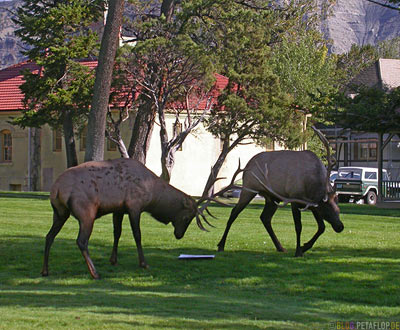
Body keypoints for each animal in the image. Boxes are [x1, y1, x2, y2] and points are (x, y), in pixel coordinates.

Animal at [41, 157, 230, 278]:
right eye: (187, 217)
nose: (179, 235)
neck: (153, 195)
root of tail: (56, 189)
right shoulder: (134, 206)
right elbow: (137, 235)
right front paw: (144, 263)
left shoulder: (118, 209)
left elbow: (117, 233)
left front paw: (113, 260)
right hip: (86, 212)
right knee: (81, 241)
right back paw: (94, 273)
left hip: (59, 213)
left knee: (49, 236)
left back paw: (45, 270)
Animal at [217, 127, 346, 258]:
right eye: (327, 212)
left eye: (338, 209)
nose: (340, 227)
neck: (313, 185)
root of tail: (247, 165)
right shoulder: (295, 200)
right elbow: (298, 227)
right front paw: (298, 250)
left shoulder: (314, 205)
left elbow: (321, 227)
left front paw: (304, 247)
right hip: (248, 189)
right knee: (234, 212)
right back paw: (221, 245)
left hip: (272, 198)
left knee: (265, 218)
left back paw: (280, 247)